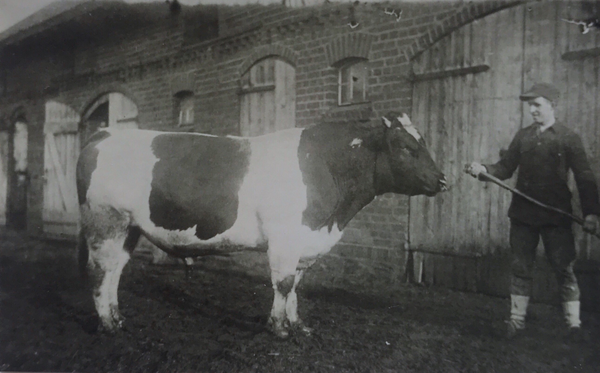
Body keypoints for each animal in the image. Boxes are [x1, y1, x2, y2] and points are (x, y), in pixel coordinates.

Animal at [76, 112, 446, 338]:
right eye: (406, 146)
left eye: (424, 142)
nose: (442, 180)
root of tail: (105, 133)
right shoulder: (285, 237)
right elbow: (283, 284)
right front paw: (279, 328)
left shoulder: (304, 241)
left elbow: (295, 286)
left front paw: (298, 326)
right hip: (106, 220)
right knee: (99, 271)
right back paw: (107, 324)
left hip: (129, 229)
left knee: (115, 270)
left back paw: (118, 318)